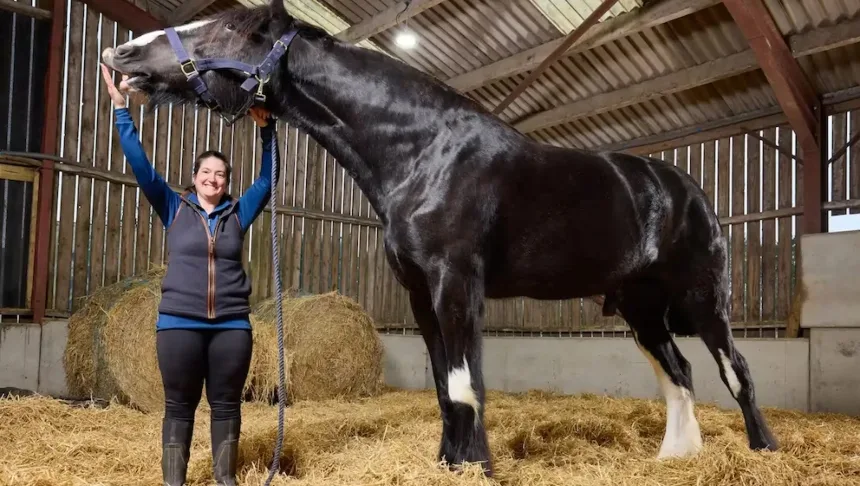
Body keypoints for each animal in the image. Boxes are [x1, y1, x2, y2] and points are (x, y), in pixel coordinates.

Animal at [100, 0, 778, 476]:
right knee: (680, 372)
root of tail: (685, 188)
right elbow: (442, 386)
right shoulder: (420, 292)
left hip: (703, 300)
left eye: (229, 30)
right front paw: (451, 461)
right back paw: (676, 458)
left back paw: (762, 450)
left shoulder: (458, 283)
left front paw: (476, 464)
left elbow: (463, 383)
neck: (424, 152)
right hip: (641, 309)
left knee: (738, 370)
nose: (120, 55)